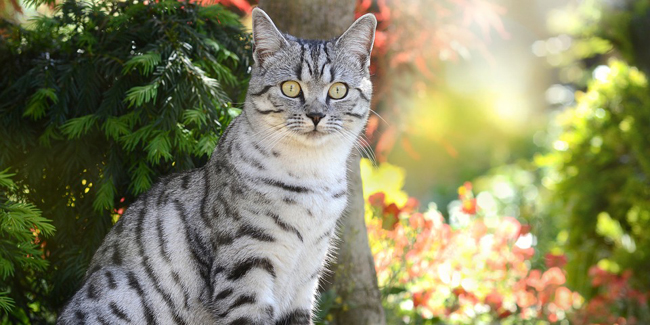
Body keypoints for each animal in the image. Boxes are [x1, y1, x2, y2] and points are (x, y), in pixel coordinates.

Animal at [58, 7, 378, 324]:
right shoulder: (245, 269)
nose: (315, 115)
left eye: (338, 90)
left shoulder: (305, 279)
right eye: (290, 88)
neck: (311, 176)